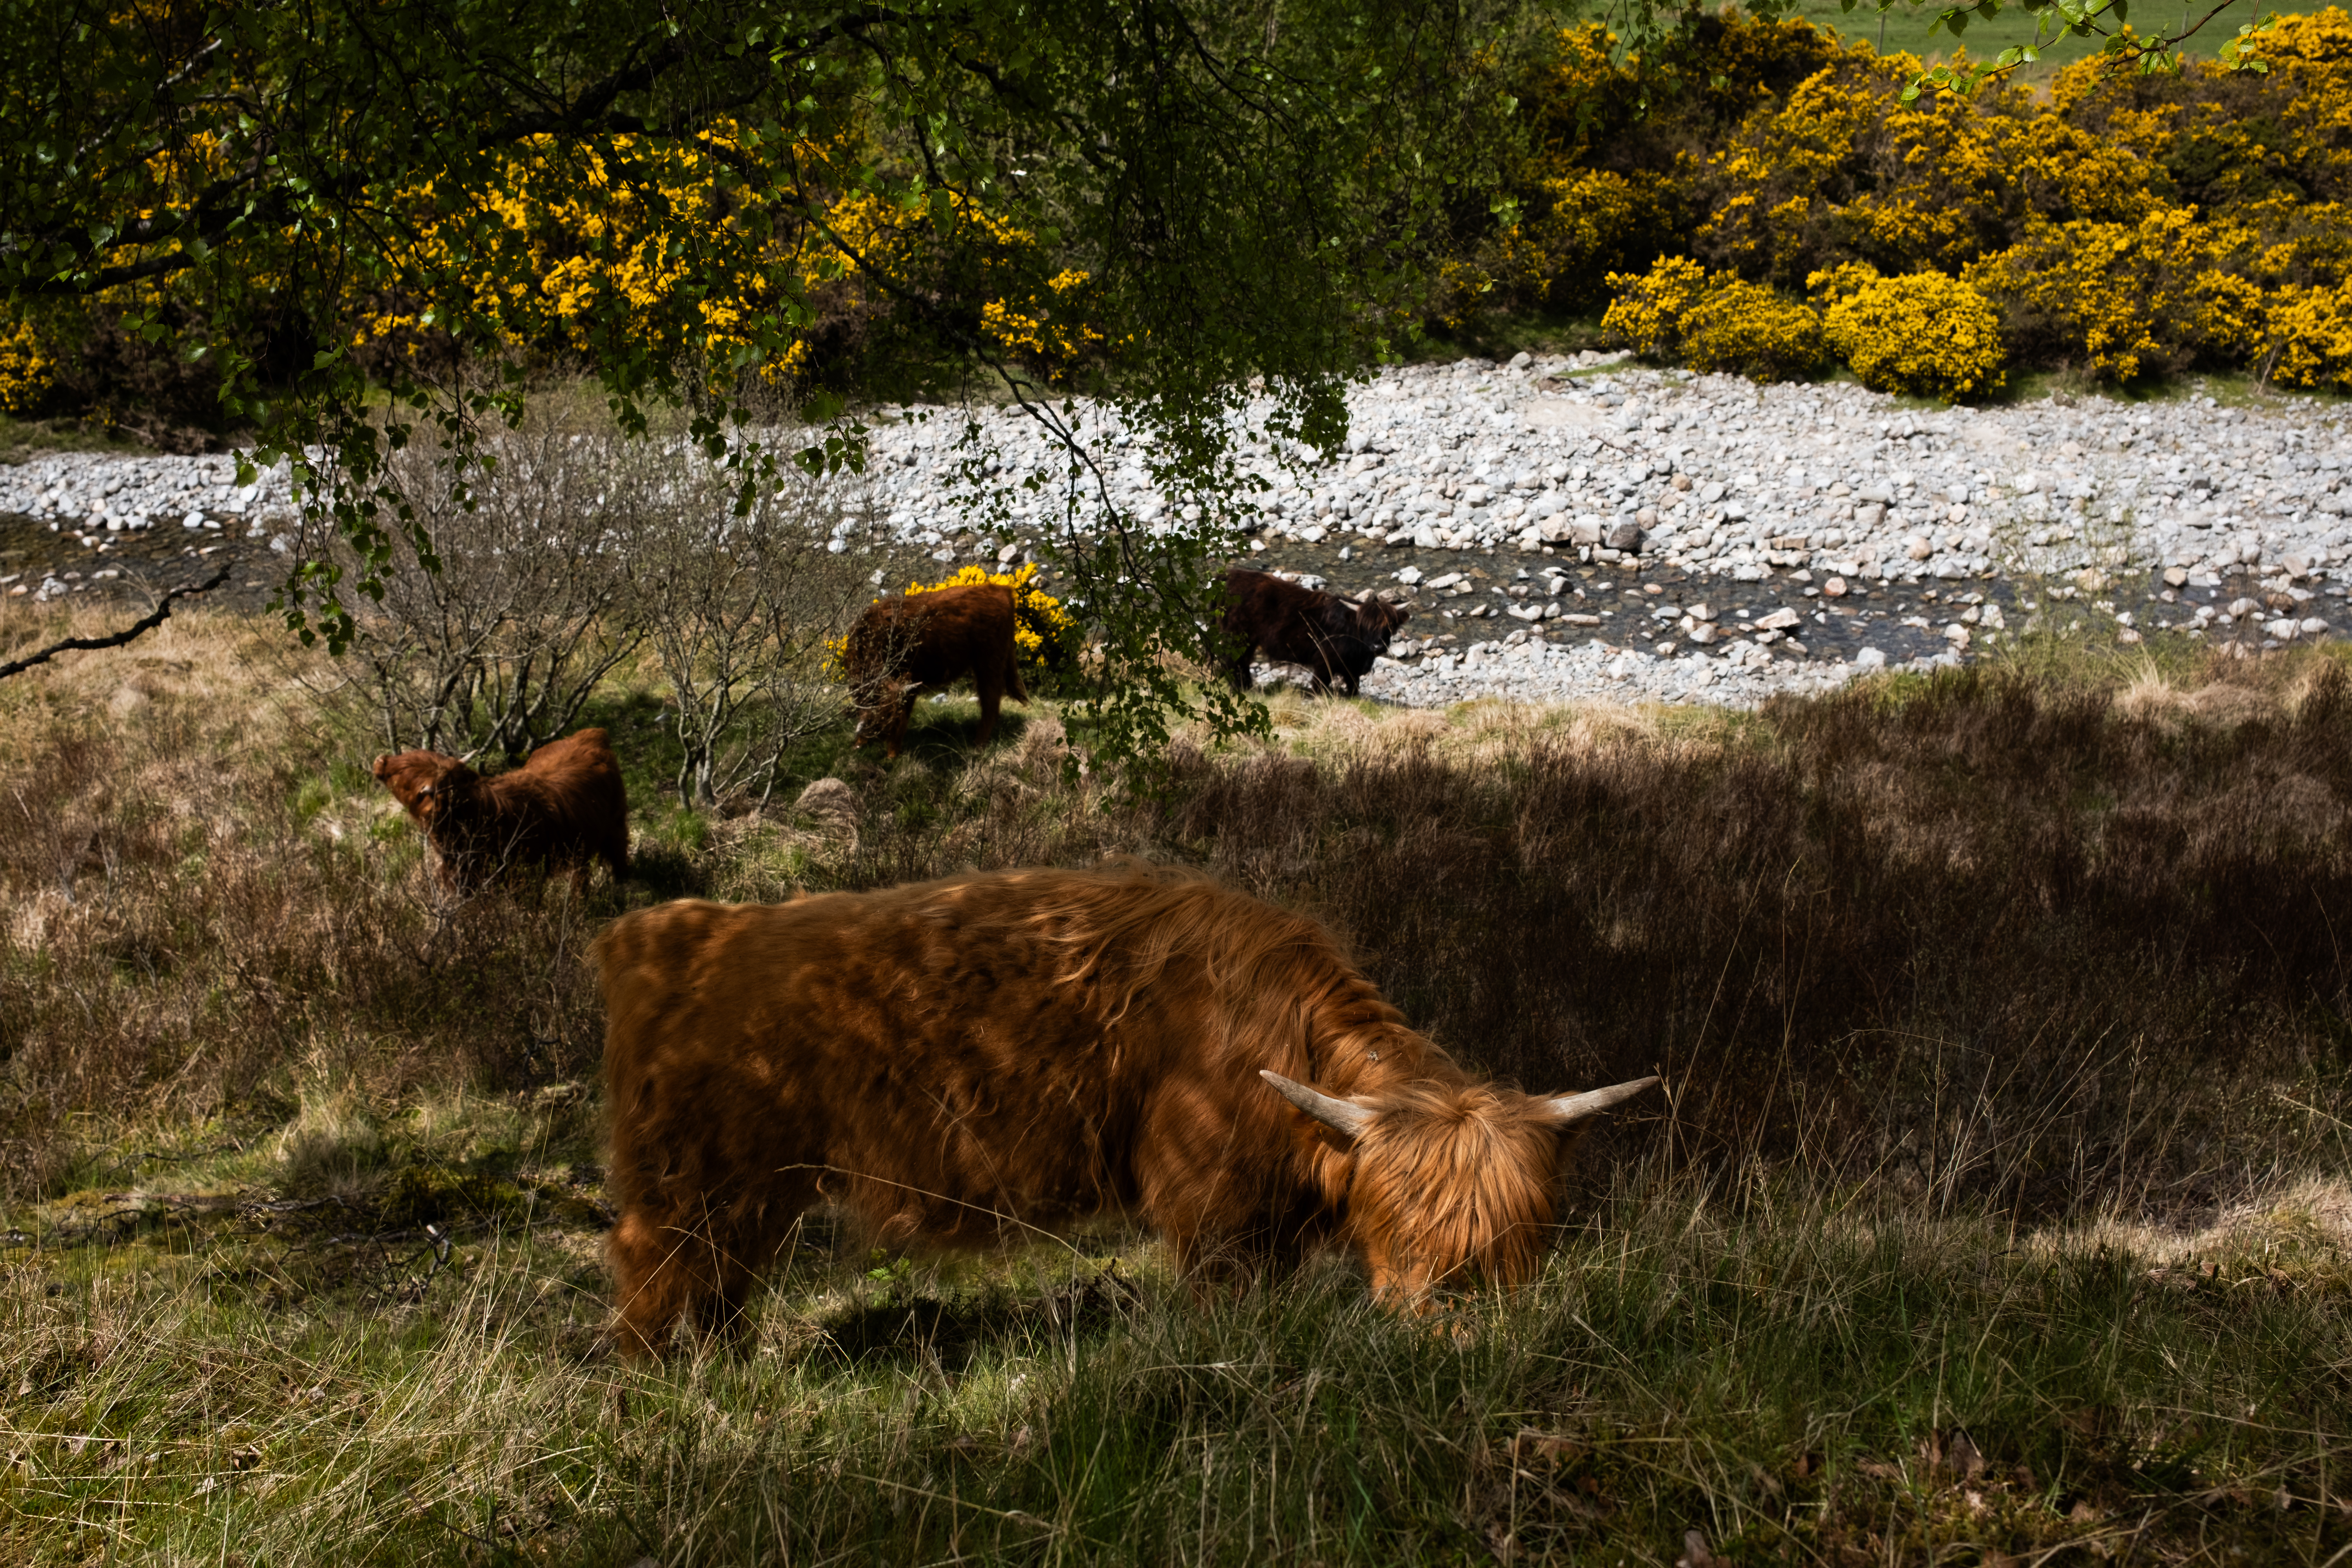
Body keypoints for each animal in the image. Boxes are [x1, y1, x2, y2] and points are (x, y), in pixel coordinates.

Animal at [370, 727, 629, 894]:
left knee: (617, 857)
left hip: (615, 825)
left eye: (401, 776)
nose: (380, 760)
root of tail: (590, 733)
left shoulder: (525, 879)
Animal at [594, 860, 1657, 1358]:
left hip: (758, 1186)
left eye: (1526, 1240)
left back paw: (727, 1362)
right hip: (688, 1174)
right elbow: (1223, 1301)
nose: (1464, 1343)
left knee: (724, 1276)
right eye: (1401, 1233)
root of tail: (675, 927)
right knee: (654, 1269)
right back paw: (656, 1385)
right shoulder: (1210, 1211)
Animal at [842, 582, 1029, 758]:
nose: (880, 736)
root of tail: (999, 589)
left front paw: (892, 755)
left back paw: (977, 746)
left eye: (889, 716)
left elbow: (903, 719)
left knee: (991, 705)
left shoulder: (911, 680)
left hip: (990, 663)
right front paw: (857, 745)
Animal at [1217, 569, 1411, 697]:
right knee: (1233, 664)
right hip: (1239, 639)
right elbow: (1320, 685)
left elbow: (1354, 687)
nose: (1378, 646)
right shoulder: (1325, 661)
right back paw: (1240, 690)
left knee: (1241, 664)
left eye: (1390, 625)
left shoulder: (1351, 668)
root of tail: (1232, 576)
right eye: (1364, 625)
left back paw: (1247, 688)